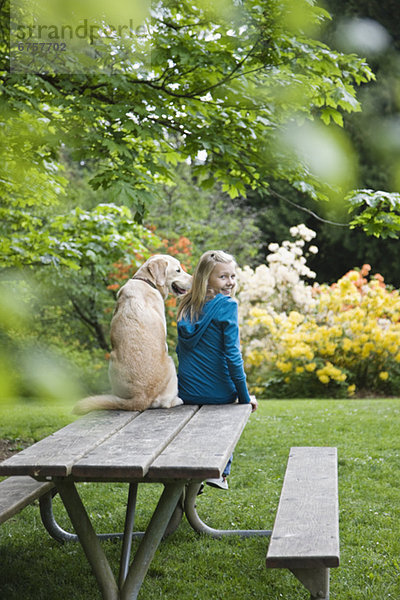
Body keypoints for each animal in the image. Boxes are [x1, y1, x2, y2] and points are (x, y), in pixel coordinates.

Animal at [75, 253, 194, 412]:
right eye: (178, 270)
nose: (193, 279)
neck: (146, 281)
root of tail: (140, 397)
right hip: (170, 363)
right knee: (164, 403)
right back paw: (177, 400)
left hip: (112, 361)